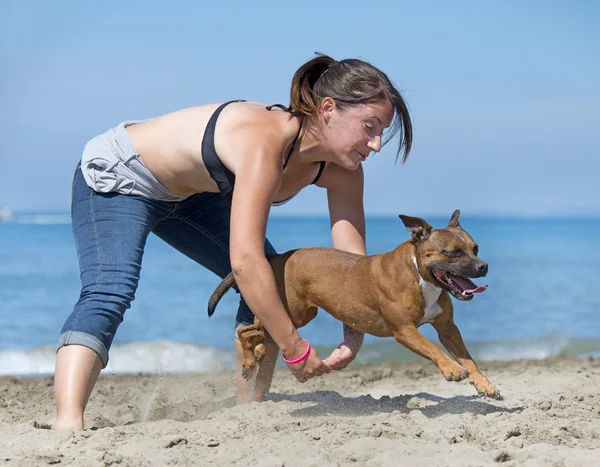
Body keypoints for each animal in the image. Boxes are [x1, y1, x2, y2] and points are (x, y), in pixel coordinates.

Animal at [209, 211, 500, 398]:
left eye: (475, 248)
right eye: (452, 252)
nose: (483, 266)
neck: (418, 273)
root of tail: (279, 257)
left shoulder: (448, 328)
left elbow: (469, 358)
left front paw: (484, 384)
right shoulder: (405, 330)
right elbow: (433, 348)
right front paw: (452, 368)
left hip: (297, 314)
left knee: (258, 326)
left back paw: (257, 353)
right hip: (295, 313)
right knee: (247, 329)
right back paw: (249, 361)